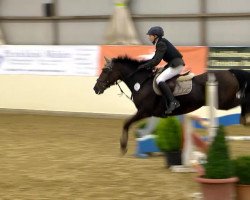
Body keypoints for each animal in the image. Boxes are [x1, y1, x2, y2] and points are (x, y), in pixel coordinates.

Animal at [93, 55, 250, 154]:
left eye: (105, 70)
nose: (96, 88)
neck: (142, 82)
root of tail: (230, 72)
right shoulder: (149, 114)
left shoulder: (144, 112)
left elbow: (126, 123)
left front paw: (123, 146)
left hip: (223, 102)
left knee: (244, 100)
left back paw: (244, 120)